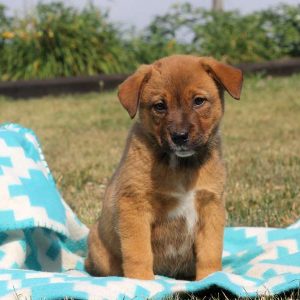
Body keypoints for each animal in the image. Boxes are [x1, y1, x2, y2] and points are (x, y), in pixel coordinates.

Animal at [85, 54, 244, 282]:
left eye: (198, 101)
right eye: (159, 106)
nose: (179, 136)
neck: (180, 166)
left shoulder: (211, 207)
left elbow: (210, 251)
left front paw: (211, 278)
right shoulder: (134, 205)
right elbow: (138, 252)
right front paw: (142, 281)